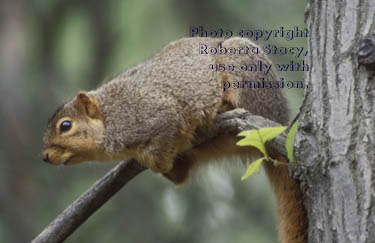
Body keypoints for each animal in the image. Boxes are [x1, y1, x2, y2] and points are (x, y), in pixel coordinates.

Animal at [41, 36, 308, 243]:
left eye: (65, 126)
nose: (44, 156)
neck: (110, 116)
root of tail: (282, 120)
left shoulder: (158, 115)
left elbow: (165, 136)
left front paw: (155, 160)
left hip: (245, 74)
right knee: (182, 176)